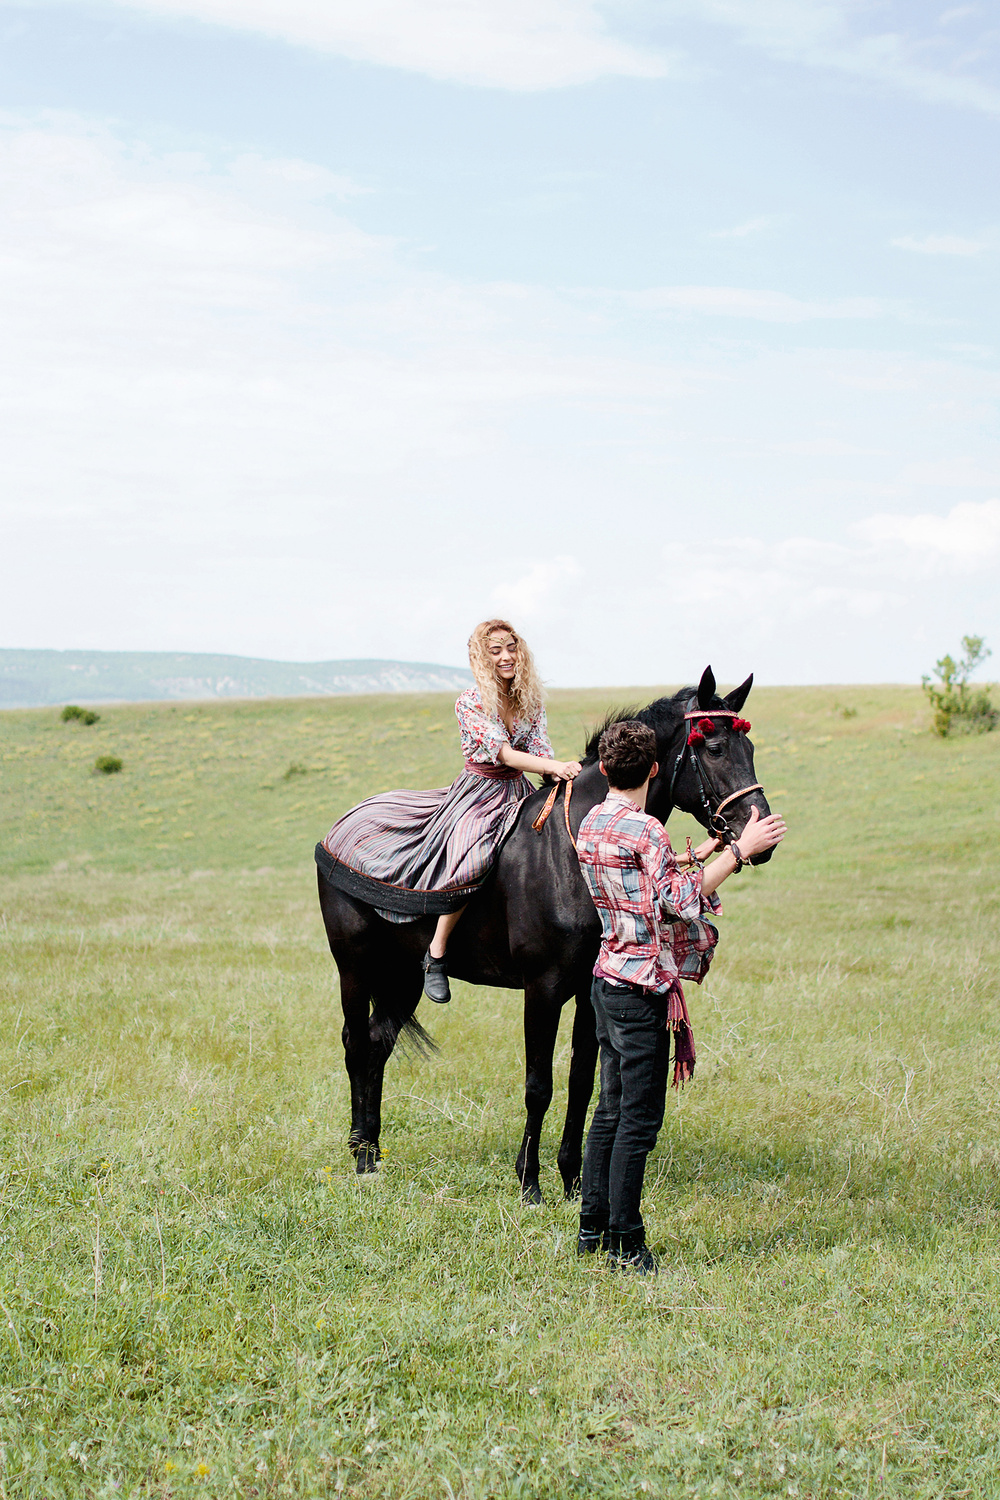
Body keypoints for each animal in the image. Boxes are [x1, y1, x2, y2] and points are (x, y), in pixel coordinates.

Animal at [316, 669, 773, 1206]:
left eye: (749, 747)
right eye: (715, 747)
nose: (760, 830)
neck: (573, 846)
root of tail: (339, 830)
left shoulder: (589, 991)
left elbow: (580, 1082)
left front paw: (572, 1180)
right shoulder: (543, 988)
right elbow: (539, 1085)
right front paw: (529, 1182)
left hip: (402, 975)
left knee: (377, 1044)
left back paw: (372, 1150)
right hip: (354, 967)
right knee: (354, 1043)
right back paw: (360, 1155)